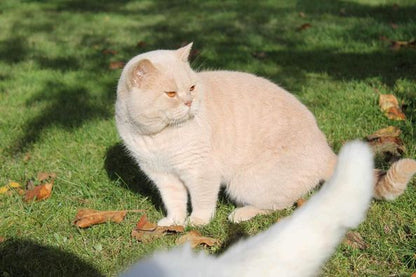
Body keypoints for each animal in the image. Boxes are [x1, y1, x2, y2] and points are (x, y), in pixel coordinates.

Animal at [115, 42, 416, 224]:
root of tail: (327, 152)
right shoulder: (162, 176)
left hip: (244, 183)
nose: (189, 103)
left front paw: (197, 222)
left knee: (280, 205)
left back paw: (240, 214)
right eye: (170, 93)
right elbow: (174, 201)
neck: (156, 137)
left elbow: (201, 200)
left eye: (191, 88)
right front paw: (175, 222)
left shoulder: (201, 173)